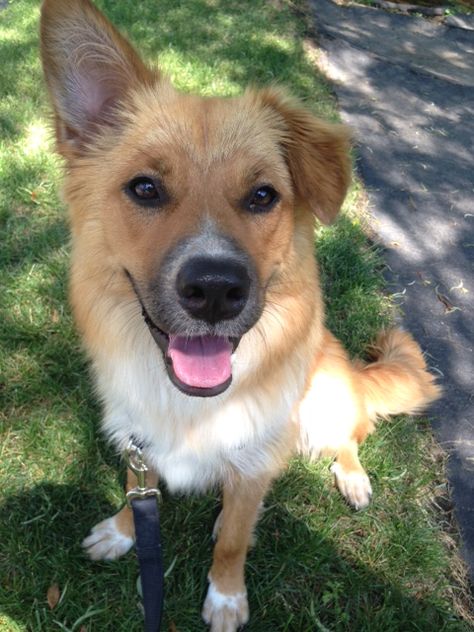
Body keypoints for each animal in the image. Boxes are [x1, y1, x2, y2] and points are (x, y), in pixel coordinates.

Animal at [40, 2, 440, 628]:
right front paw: (123, 532)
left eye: (262, 195)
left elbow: (231, 541)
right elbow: (137, 492)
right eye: (145, 188)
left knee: (354, 433)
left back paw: (352, 477)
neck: (189, 406)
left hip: (327, 400)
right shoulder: (136, 441)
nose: (213, 289)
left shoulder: (252, 469)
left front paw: (226, 597)